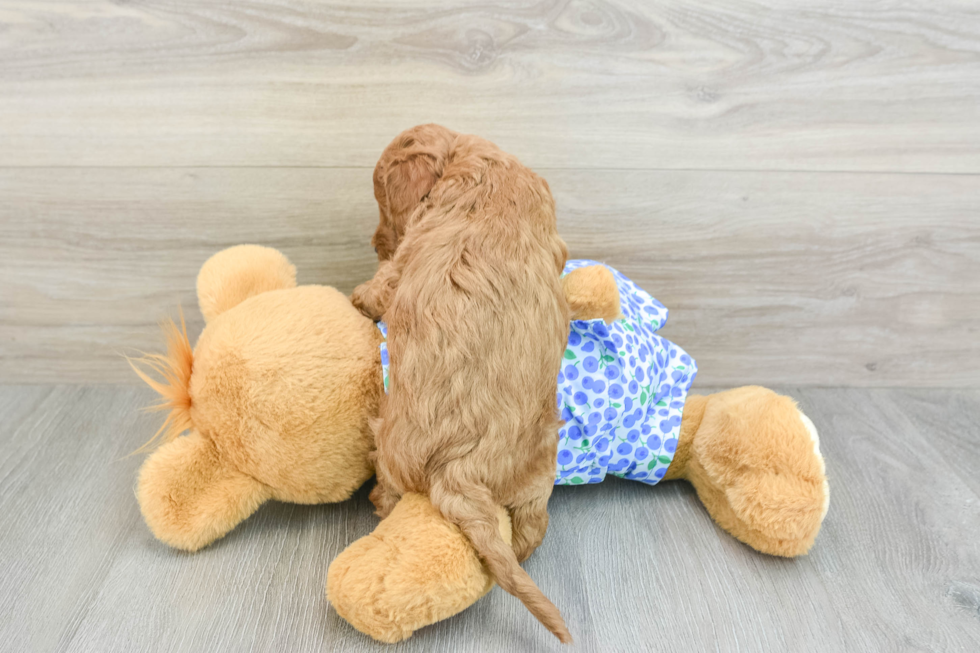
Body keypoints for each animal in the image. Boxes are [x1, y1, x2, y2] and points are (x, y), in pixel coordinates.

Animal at [352, 123, 572, 640]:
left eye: (382, 202)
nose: (375, 242)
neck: (477, 160)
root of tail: (461, 468)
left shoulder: (406, 254)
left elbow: (382, 287)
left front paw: (359, 297)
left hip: (390, 448)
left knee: (389, 488)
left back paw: (378, 503)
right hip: (539, 472)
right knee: (531, 526)